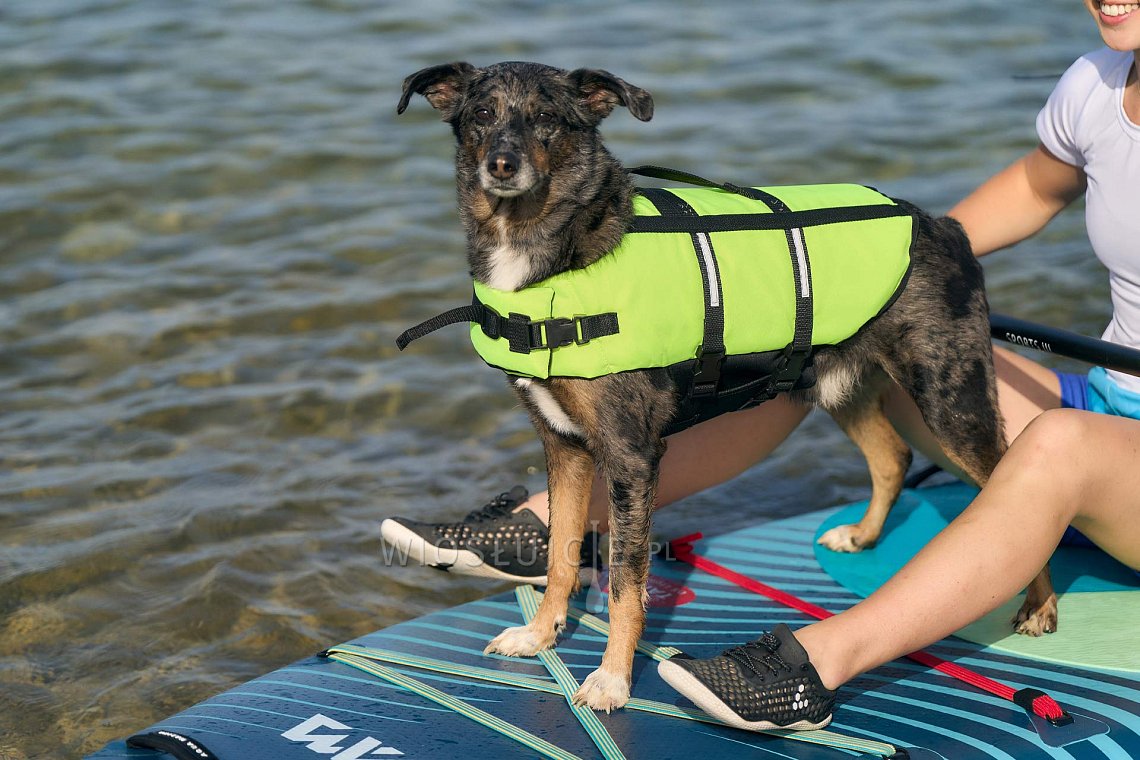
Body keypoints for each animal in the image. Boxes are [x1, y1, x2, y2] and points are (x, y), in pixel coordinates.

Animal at [394, 60, 1057, 715]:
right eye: (482, 114)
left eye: (546, 119)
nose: (502, 165)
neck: (555, 250)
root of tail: (943, 225)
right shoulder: (565, 445)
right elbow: (560, 554)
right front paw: (540, 636)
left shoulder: (630, 457)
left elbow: (626, 585)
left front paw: (612, 680)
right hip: (836, 385)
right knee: (892, 455)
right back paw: (864, 535)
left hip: (951, 401)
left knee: (1011, 481)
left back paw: (1040, 605)